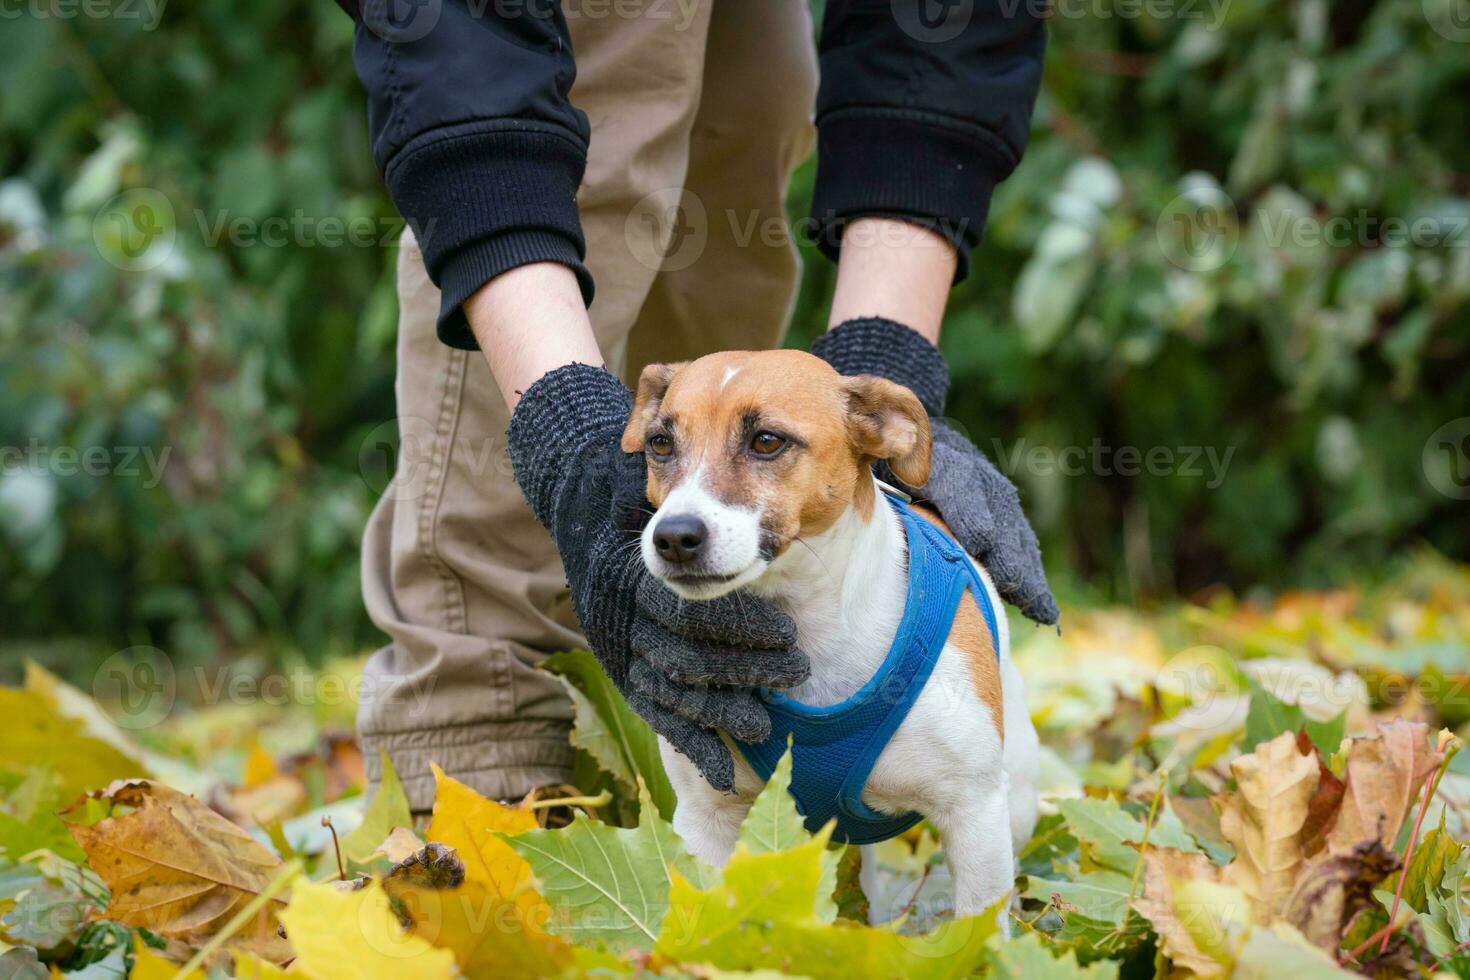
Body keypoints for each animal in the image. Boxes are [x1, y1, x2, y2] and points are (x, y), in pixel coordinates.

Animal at [620, 348, 1046, 922]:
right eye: (660, 444)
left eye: (766, 440)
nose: (673, 536)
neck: (811, 630)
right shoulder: (706, 818)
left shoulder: (973, 814)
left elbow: (979, 925)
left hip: (1015, 800)